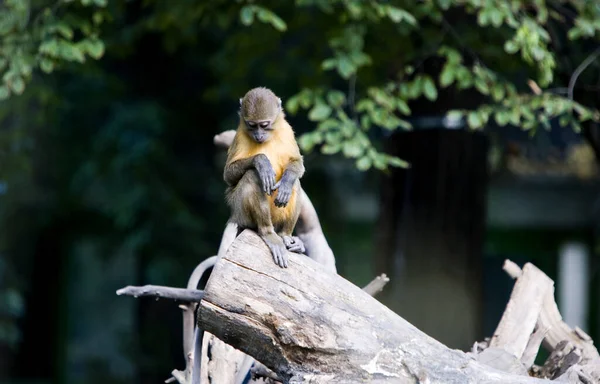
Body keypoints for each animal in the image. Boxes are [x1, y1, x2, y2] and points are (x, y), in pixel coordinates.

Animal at [225, 86, 308, 268]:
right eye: (252, 125)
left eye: (264, 125)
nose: (258, 135)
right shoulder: (240, 134)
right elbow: (228, 176)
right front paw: (262, 162)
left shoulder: (287, 130)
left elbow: (297, 163)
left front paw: (286, 181)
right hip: (241, 212)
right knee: (251, 175)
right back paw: (267, 232)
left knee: (296, 183)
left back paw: (285, 234)